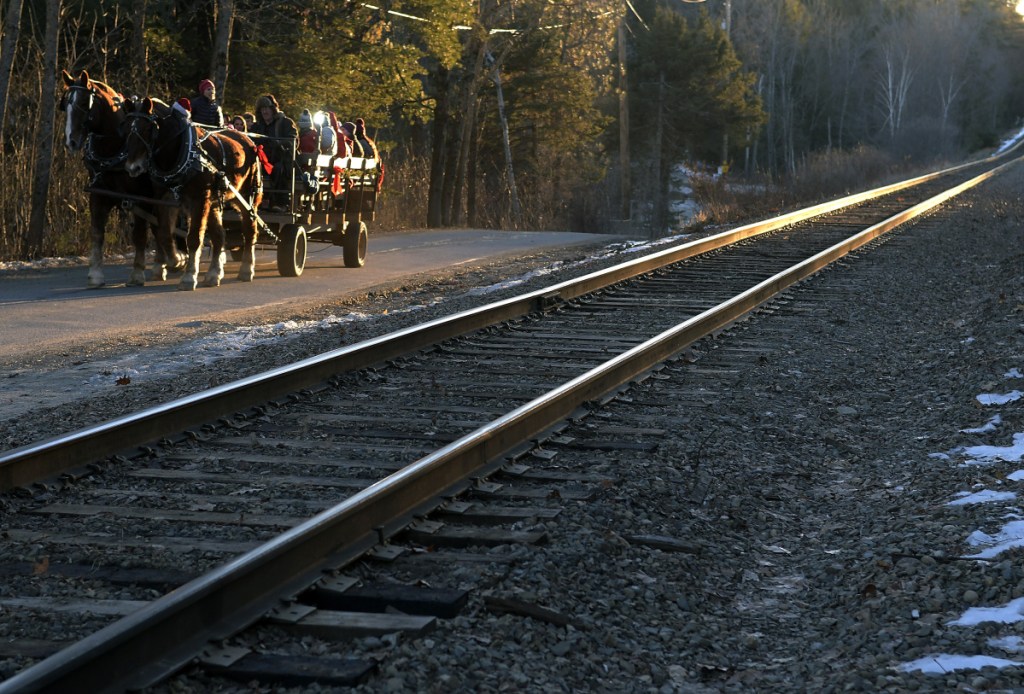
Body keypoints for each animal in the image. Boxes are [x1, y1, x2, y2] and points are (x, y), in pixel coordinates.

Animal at [59, 70, 184, 288]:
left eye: (84, 102)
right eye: (65, 103)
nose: (71, 141)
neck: (115, 148)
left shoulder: (139, 197)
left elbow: (139, 235)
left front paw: (137, 273)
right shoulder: (98, 195)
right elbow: (97, 233)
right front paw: (95, 275)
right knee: (159, 226)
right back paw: (161, 266)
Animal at [122, 97, 264, 288]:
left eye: (147, 129)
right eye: (125, 128)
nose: (133, 167)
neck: (180, 151)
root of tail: (249, 141)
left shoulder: (199, 200)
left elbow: (194, 238)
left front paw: (189, 276)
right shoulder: (165, 199)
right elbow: (165, 234)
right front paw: (175, 260)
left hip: (247, 197)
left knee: (249, 229)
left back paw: (246, 269)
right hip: (213, 202)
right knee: (219, 235)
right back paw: (214, 274)